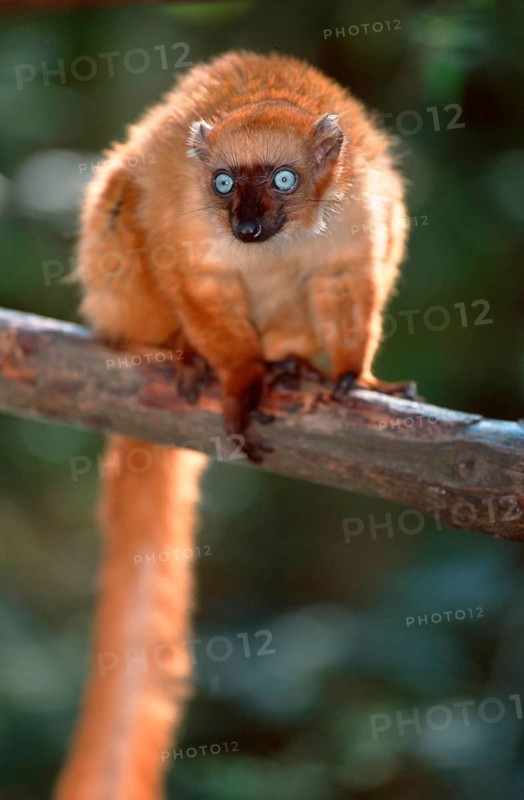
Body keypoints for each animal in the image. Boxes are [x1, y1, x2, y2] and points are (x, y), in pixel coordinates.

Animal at [54, 51, 412, 800]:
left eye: (283, 180)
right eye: (223, 184)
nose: (246, 227)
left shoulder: (358, 210)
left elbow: (350, 279)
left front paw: (355, 376)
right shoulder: (193, 223)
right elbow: (197, 277)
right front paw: (241, 379)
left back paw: (293, 365)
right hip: (120, 300)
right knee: (125, 198)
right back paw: (187, 354)